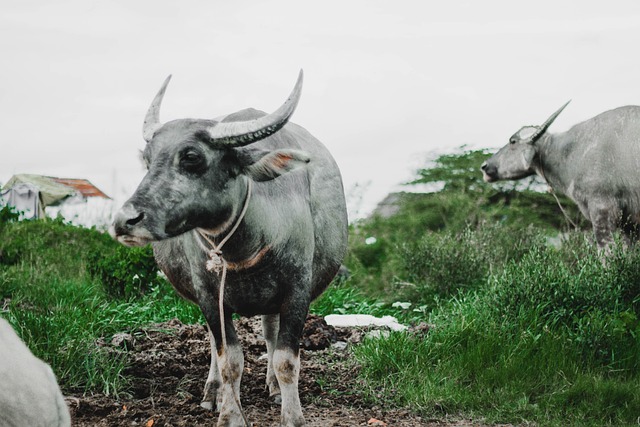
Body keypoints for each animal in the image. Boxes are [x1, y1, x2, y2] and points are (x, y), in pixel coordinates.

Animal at [110, 72, 350, 426]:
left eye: (192, 157)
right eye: (149, 161)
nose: (125, 221)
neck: (245, 248)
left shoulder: (297, 290)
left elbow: (286, 360)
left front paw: (292, 416)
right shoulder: (210, 296)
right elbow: (229, 359)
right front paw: (229, 413)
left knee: (269, 333)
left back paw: (272, 387)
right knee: (216, 344)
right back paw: (213, 393)